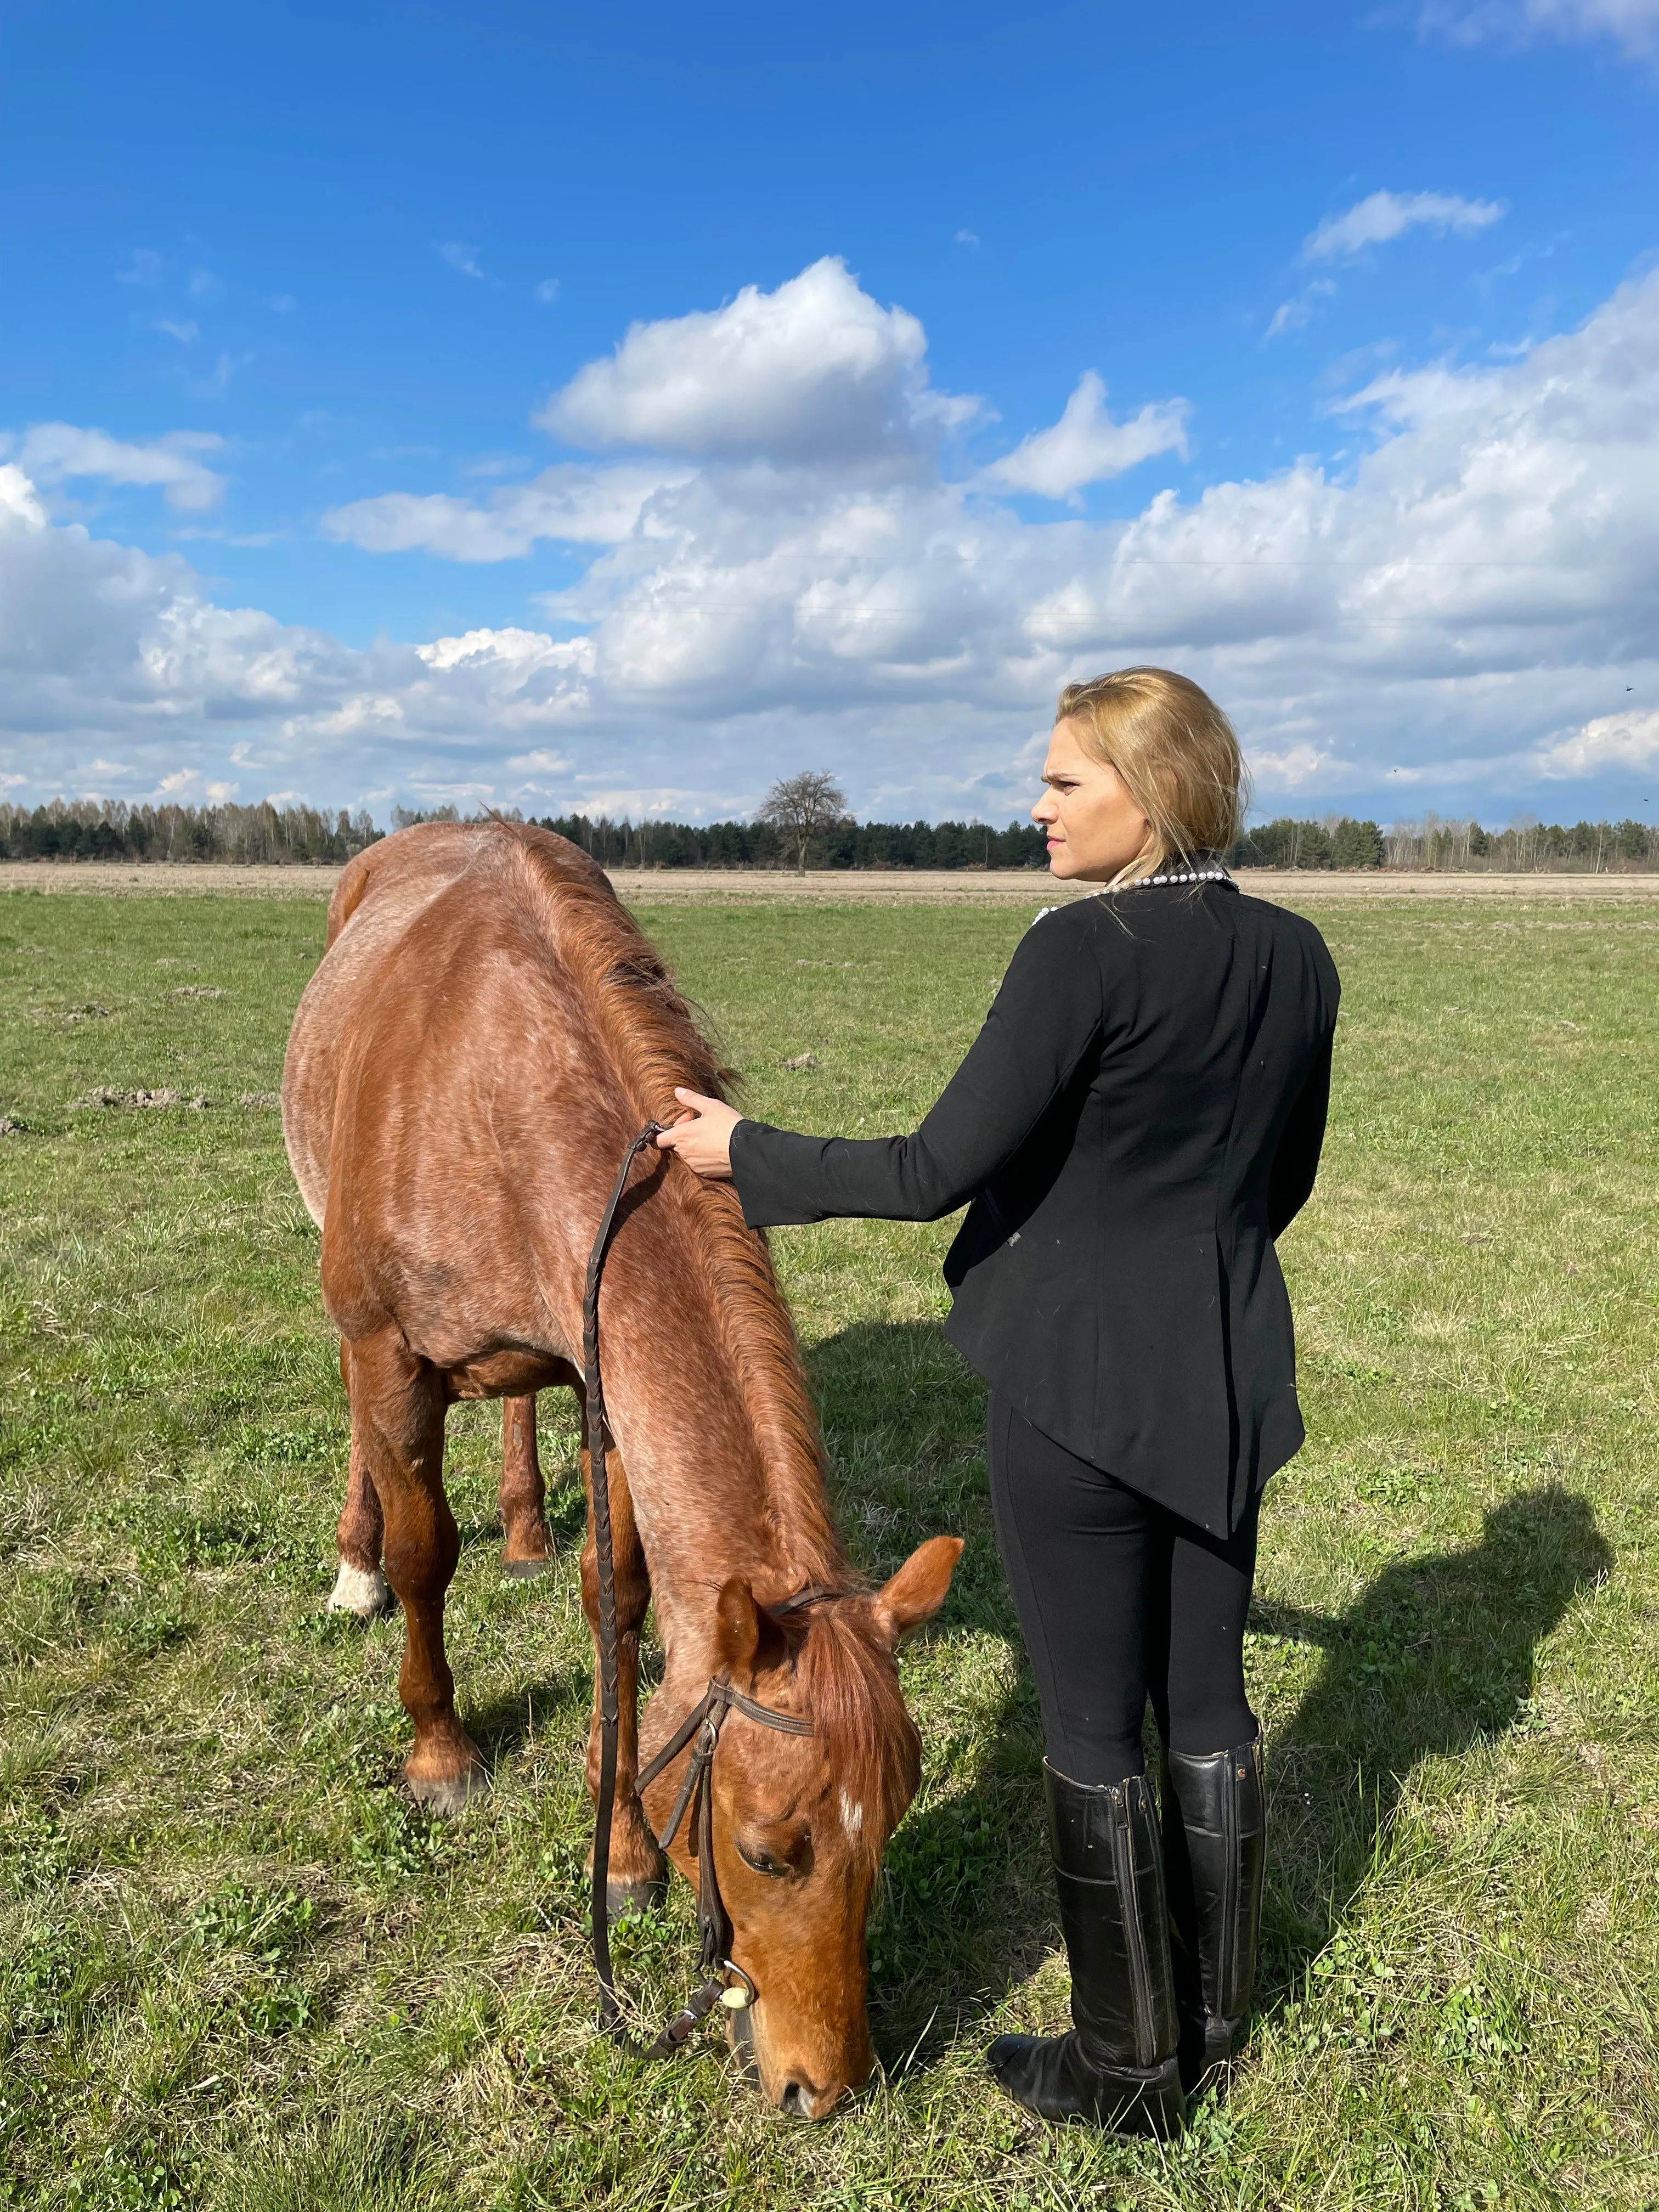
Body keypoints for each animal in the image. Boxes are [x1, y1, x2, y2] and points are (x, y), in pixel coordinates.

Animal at [283, 822, 960, 2114]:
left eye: (894, 1825)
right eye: (764, 1851)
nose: (825, 2085)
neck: (503, 1090)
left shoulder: (604, 1379)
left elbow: (621, 1602)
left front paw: (625, 1850)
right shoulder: (388, 1350)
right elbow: (425, 1549)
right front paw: (438, 1750)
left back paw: (526, 1525)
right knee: (372, 1456)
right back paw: (355, 1568)